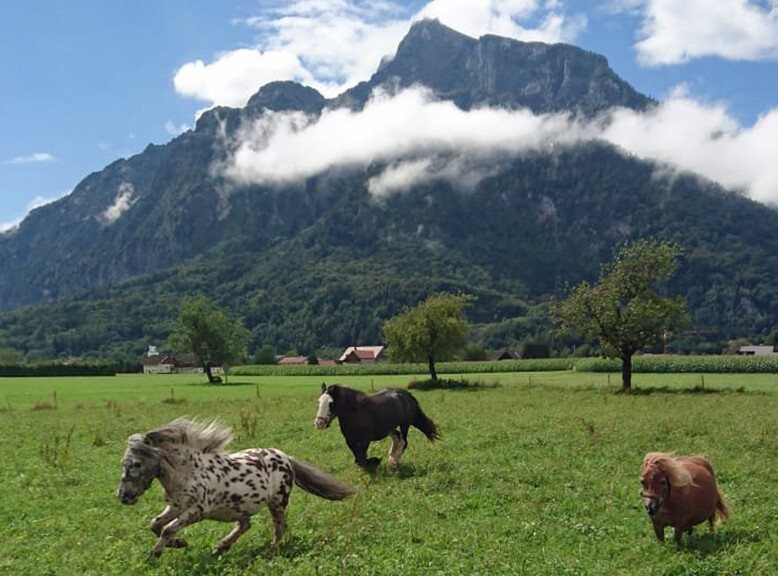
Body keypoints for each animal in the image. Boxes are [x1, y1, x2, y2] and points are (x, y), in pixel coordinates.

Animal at [116, 418, 356, 558]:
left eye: (136, 464)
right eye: (123, 463)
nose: (123, 496)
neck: (187, 471)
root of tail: (286, 457)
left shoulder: (197, 511)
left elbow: (167, 528)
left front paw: (155, 554)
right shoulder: (176, 507)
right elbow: (156, 524)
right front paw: (179, 543)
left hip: (278, 502)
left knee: (279, 528)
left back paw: (270, 553)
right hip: (240, 506)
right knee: (245, 525)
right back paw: (221, 547)